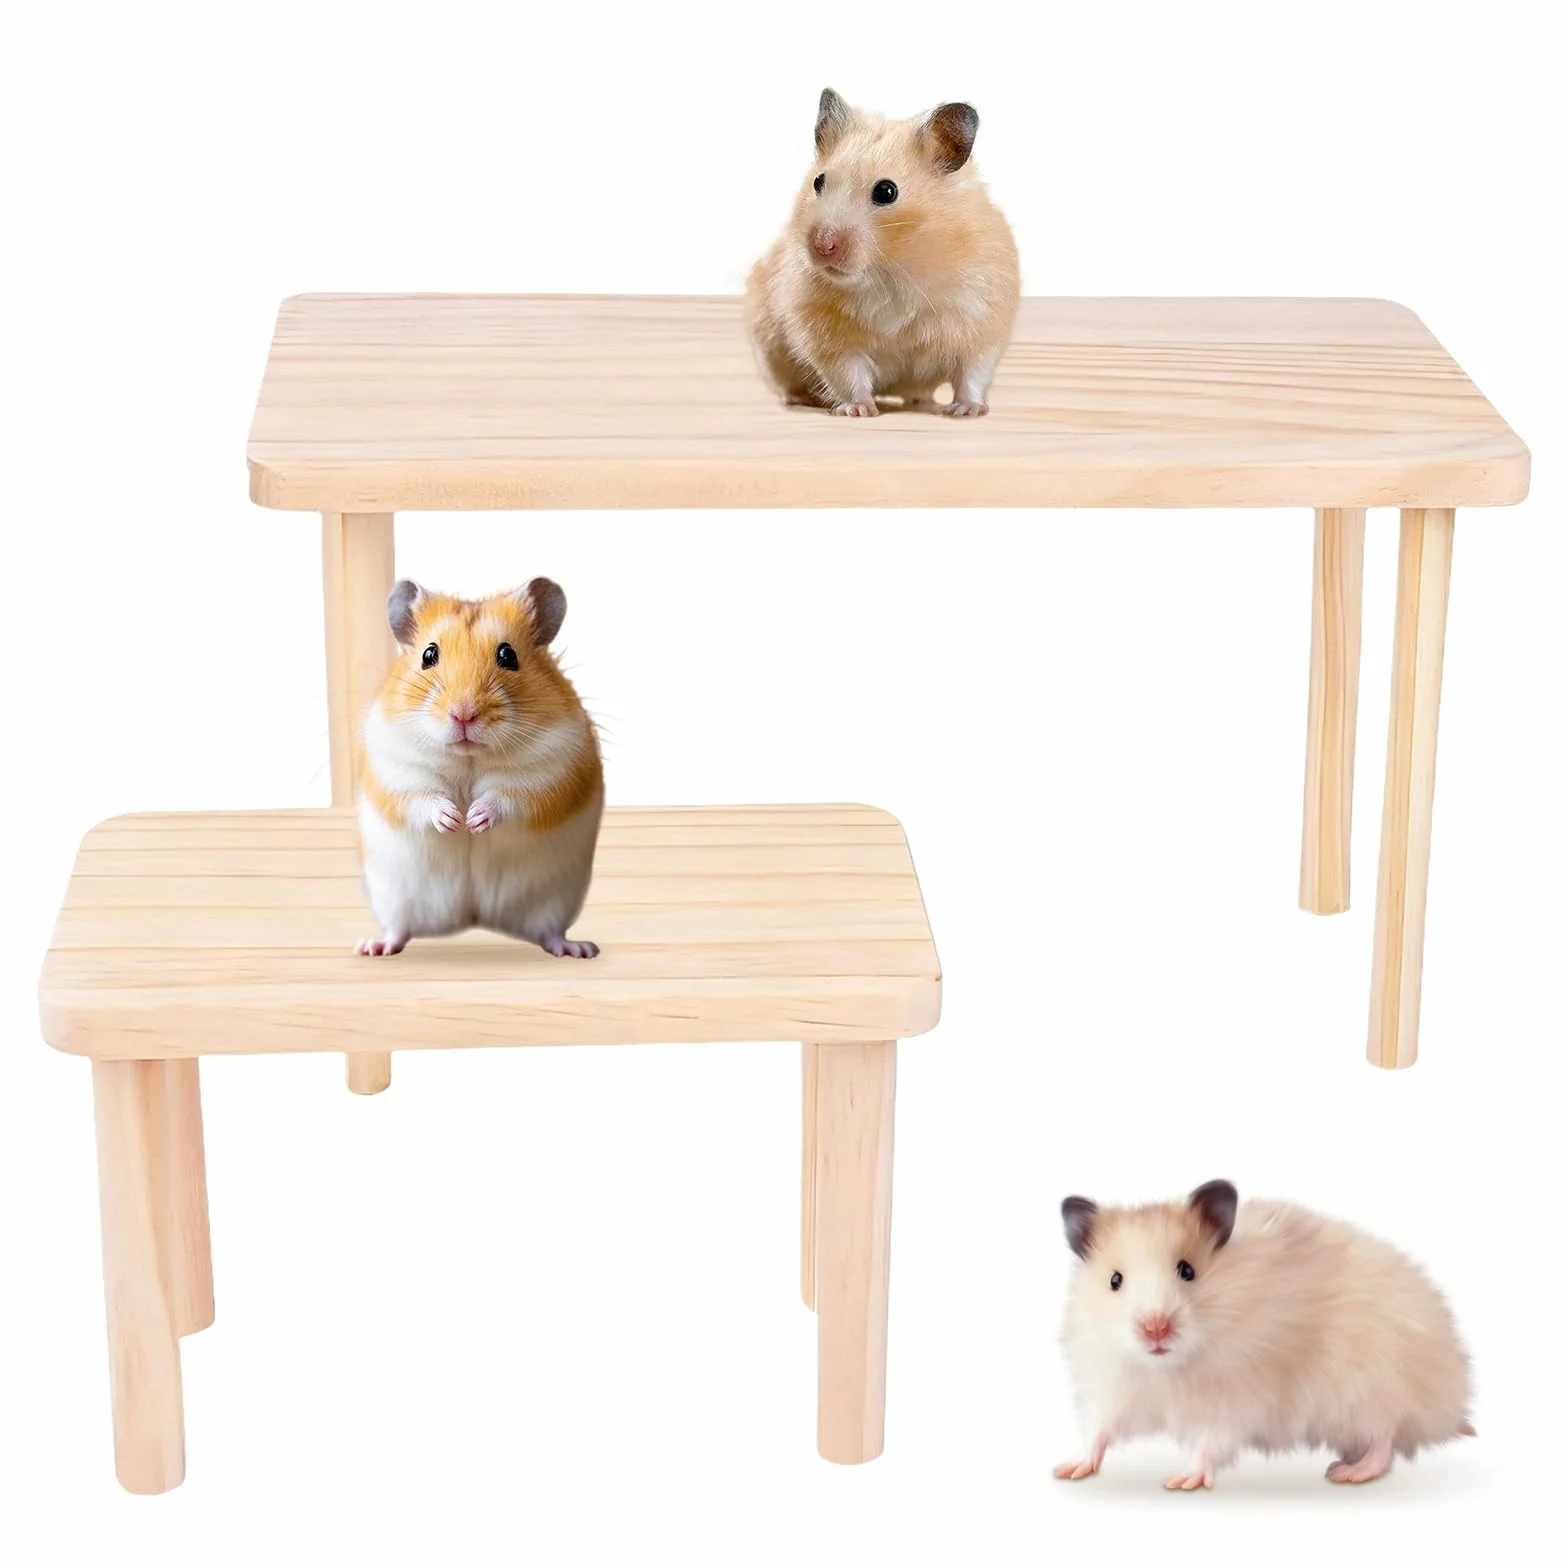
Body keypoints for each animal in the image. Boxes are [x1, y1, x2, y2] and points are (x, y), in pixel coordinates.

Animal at [355, 576, 603, 961]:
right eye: (428, 655)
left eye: (508, 655)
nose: (463, 714)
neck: (469, 757)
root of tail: (474, 916)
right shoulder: (397, 770)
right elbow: (423, 797)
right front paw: (453, 821)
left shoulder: (552, 770)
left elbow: (508, 797)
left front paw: (474, 820)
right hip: (394, 897)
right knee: (399, 929)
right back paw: (371, 948)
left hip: (553, 901)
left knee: (549, 932)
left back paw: (578, 950)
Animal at [746, 87, 1020, 417]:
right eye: (818, 182)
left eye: (887, 191)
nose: (822, 245)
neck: (891, 269)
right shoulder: (828, 336)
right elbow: (848, 374)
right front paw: (859, 410)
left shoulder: (982, 322)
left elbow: (972, 373)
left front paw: (966, 411)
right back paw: (799, 399)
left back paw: (925, 402)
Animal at [1054, 1180, 1474, 1490]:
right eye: (1115, 1280)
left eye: (1187, 1270)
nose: (1155, 1327)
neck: (1169, 1367)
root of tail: (1450, 1403)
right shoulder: (1115, 1387)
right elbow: (1098, 1430)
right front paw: (1069, 1469)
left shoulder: (1238, 1398)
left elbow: (1211, 1442)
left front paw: (1180, 1481)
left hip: (1373, 1385)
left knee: (1386, 1436)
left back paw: (1347, 1473)